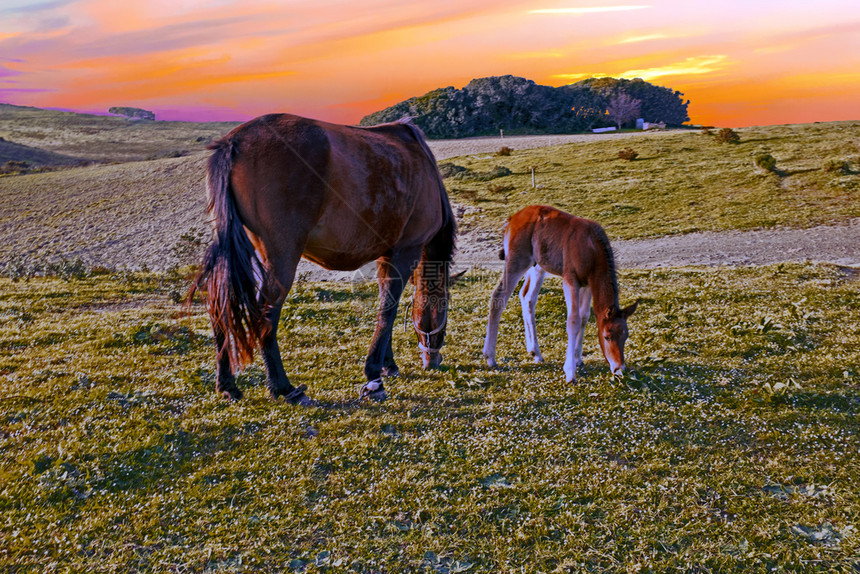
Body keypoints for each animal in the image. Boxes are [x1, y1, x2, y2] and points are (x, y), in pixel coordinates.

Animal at [190, 115, 456, 408]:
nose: (433, 360)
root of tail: (233, 142)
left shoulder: (386, 255)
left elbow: (385, 305)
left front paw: (388, 365)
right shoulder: (405, 251)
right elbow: (388, 310)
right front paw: (374, 376)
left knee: (220, 306)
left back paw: (227, 385)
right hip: (281, 256)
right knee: (265, 313)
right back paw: (284, 388)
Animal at [484, 206, 640, 382]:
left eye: (625, 336)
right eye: (607, 336)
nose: (619, 368)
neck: (592, 249)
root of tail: (511, 219)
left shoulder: (587, 283)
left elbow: (584, 317)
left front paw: (578, 358)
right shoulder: (570, 280)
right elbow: (573, 321)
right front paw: (570, 372)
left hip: (538, 266)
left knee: (527, 296)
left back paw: (535, 352)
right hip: (516, 261)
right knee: (499, 296)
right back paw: (490, 357)